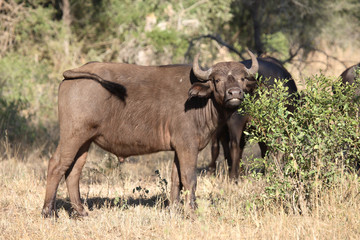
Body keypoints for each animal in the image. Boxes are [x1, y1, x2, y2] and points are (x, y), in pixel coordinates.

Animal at [41, 51, 258, 218]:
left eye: (242, 78)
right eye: (217, 80)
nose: (235, 93)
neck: (200, 102)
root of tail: (74, 73)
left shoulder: (178, 148)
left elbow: (176, 179)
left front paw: (174, 209)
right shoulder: (188, 146)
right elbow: (189, 178)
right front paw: (192, 211)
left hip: (85, 140)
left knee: (73, 171)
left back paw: (81, 212)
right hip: (72, 136)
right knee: (56, 165)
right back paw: (48, 212)